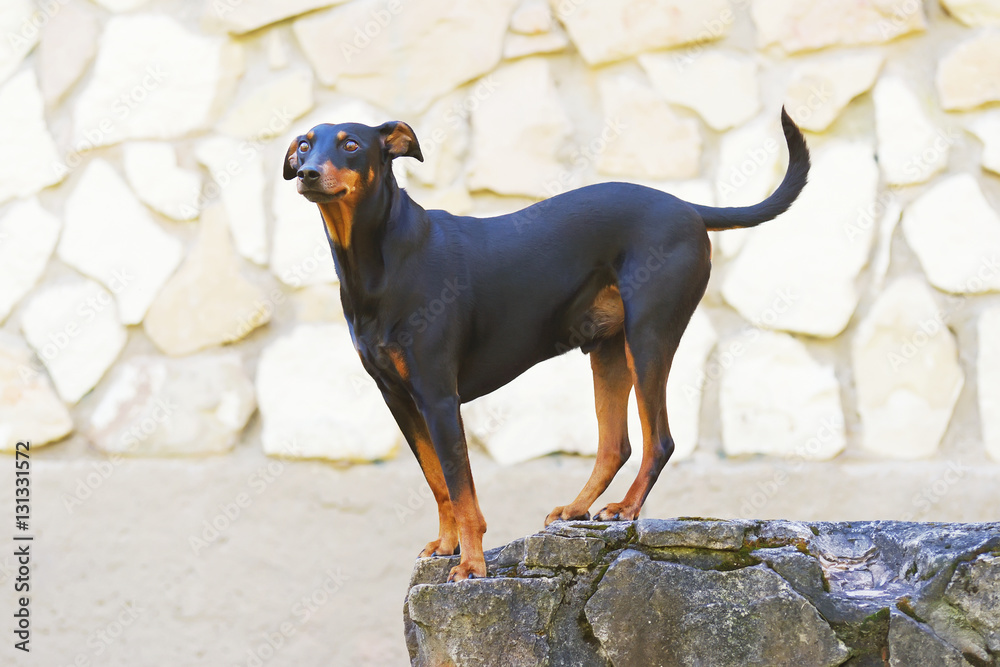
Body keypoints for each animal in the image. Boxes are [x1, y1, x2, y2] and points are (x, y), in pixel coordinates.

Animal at [284, 109, 810, 581]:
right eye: (305, 145)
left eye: (352, 144)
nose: (306, 174)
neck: (379, 262)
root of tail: (688, 207)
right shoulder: (399, 398)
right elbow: (439, 483)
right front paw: (447, 545)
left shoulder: (439, 398)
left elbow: (462, 489)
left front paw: (471, 564)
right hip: (609, 351)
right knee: (615, 445)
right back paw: (576, 508)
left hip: (649, 338)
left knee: (659, 441)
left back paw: (625, 509)